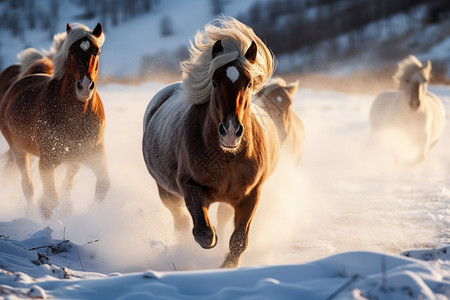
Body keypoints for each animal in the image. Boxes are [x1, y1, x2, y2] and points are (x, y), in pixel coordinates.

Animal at [0, 22, 110, 218]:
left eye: (97, 51)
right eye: (71, 51)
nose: (84, 87)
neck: (75, 116)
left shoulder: (93, 155)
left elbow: (102, 185)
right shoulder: (47, 162)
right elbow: (50, 202)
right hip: (19, 150)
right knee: (28, 186)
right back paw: (29, 215)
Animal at [142, 16, 280, 268]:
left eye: (248, 83)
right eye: (215, 82)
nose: (230, 132)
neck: (228, 157)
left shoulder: (251, 194)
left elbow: (239, 240)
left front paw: (226, 266)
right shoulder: (191, 187)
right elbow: (204, 233)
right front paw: (211, 242)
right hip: (166, 191)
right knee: (180, 220)